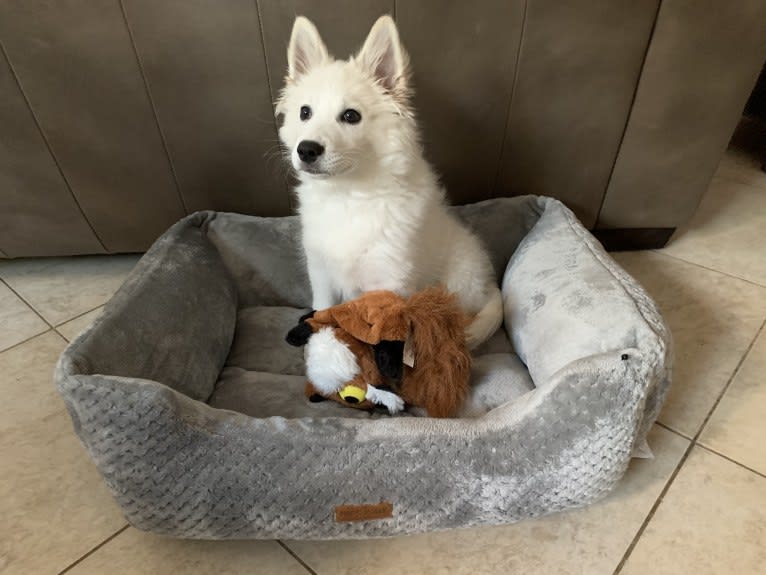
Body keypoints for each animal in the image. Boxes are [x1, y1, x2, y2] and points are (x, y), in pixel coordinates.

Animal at [276, 14, 504, 346]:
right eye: (305, 112)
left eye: (351, 116)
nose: (306, 150)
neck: (347, 194)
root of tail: (490, 286)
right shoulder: (321, 274)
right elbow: (322, 314)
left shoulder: (389, 280)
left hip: (458, 285)